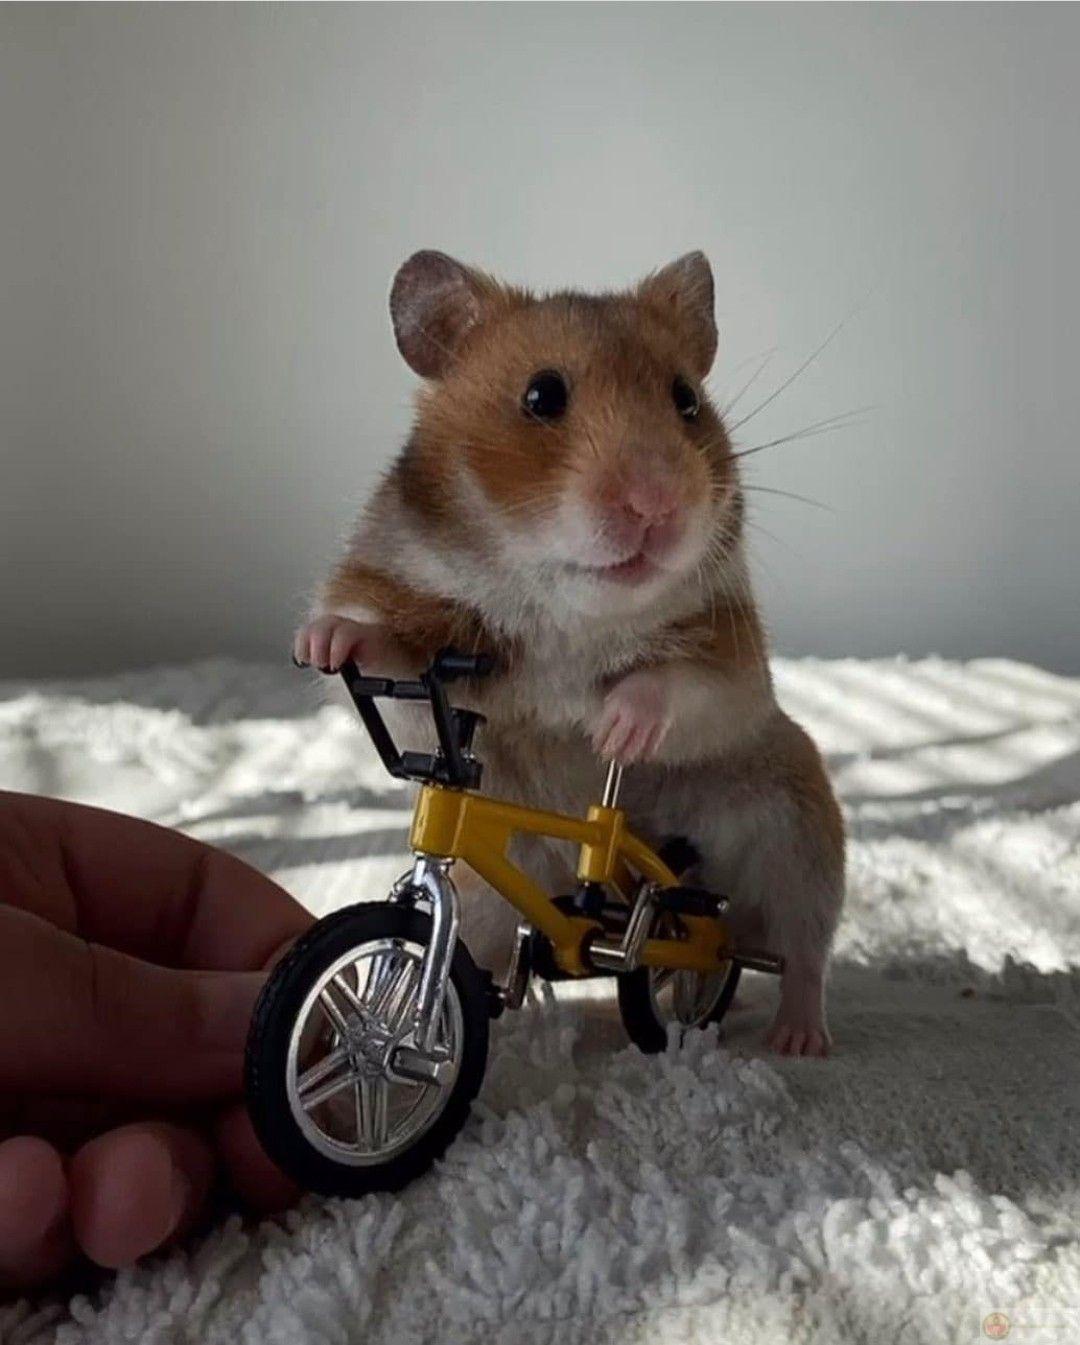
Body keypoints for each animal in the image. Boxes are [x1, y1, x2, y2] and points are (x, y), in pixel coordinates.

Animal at [295, 249, 845, 1056]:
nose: (657, 505)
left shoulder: (732, 653)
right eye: (541, 395)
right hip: (487, 903)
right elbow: (383, 649)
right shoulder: (417, 640)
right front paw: (322, 641)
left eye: (687, 399)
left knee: (792, 953)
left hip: (798, 830)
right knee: (463, 959)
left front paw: (611, 726)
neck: (565, 609)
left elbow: (686, 686)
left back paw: (795, 1038)